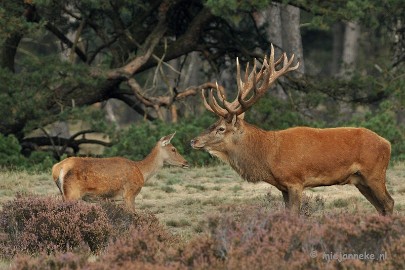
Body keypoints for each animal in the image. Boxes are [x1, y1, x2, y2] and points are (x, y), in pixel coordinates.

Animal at [51, 133, 188, 209]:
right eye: (173, 149)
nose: (186, 162)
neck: (141, 172)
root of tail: (58, 168)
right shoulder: (129, 193)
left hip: (63, 194)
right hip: (72, 193)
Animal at [191, 45, 392, 216]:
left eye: (221, 128)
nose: (194, 140)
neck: (268, 156)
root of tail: (388, 143)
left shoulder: (295, 180)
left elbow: (295, 215)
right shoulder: (283, 187)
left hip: (375, 173)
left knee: (389, 203)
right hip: (360, 180)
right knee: (380, 207)